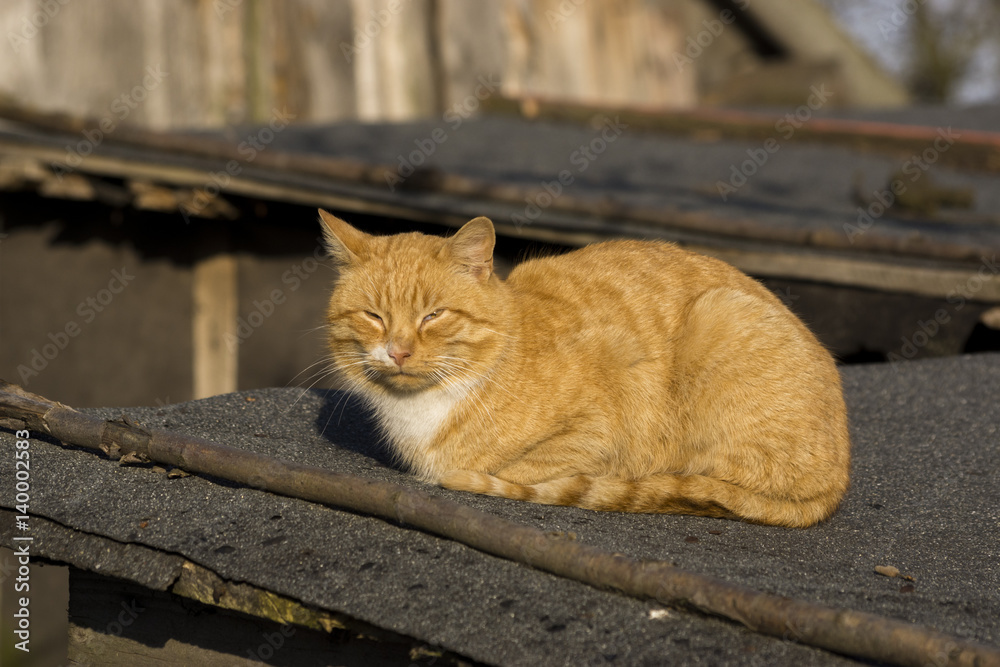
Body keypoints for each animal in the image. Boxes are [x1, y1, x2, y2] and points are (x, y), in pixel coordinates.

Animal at [320, 209, 852, 528]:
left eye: (433, 315)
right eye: (374, 316)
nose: (398, 351)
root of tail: (838, 479)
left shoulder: (603, 422)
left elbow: (515, 469)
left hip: (721, 315)